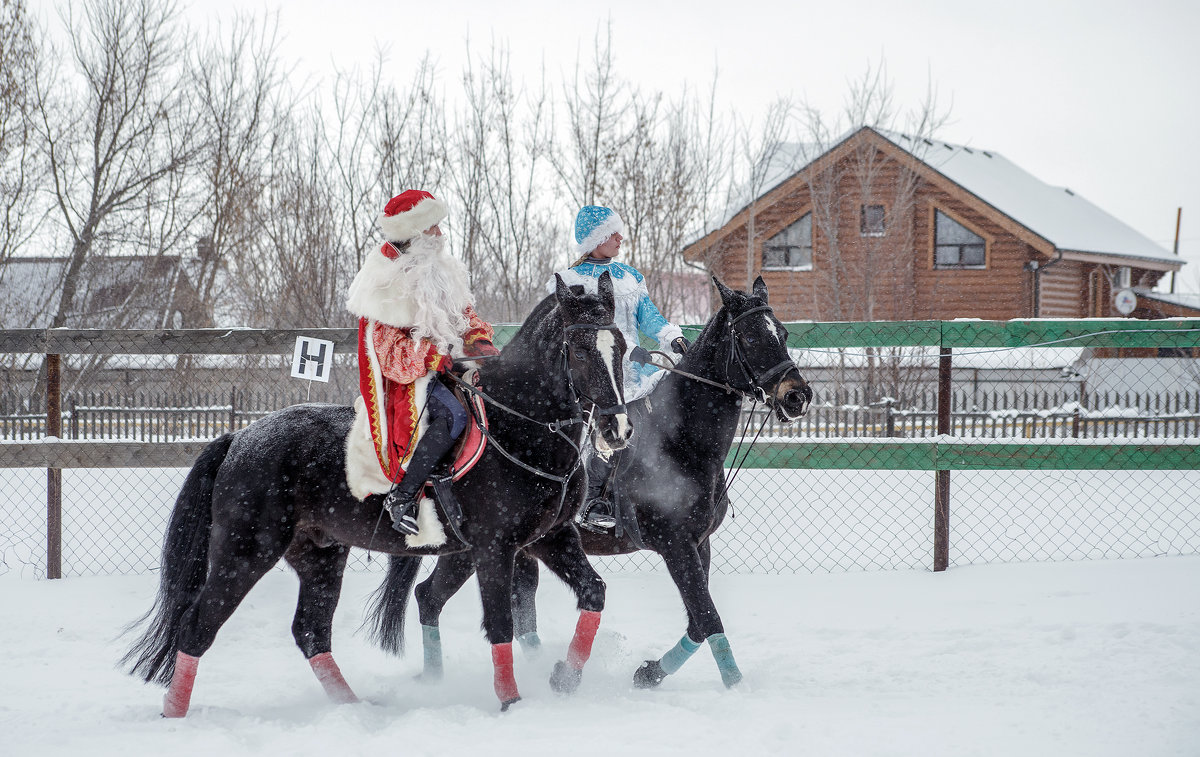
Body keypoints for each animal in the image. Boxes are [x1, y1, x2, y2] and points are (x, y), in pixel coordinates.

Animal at [124, 272, 638, 715]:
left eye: (622, 347)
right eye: (580, 350)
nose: (618, 429)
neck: (519, 426)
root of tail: (240, 438)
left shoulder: (549, 537)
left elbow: (593, 592)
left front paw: (565, 677)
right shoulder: (497, 548)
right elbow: (500, 623)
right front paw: (511, 701)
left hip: (320, 556)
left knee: (312, 632)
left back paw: (355, 708)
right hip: (245, 552)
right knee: (197, 627)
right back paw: (174, 714)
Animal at [393, 277, 816, 691]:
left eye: (782, 334)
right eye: (749, 337)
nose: (797, 395)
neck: (680, 441)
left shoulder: (699, 543)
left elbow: (698, 623)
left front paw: (649, 672)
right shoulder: (676, 544)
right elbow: (708, 616)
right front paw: (736, 686)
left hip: (501, 547)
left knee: (467, 601)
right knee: (438, 597)